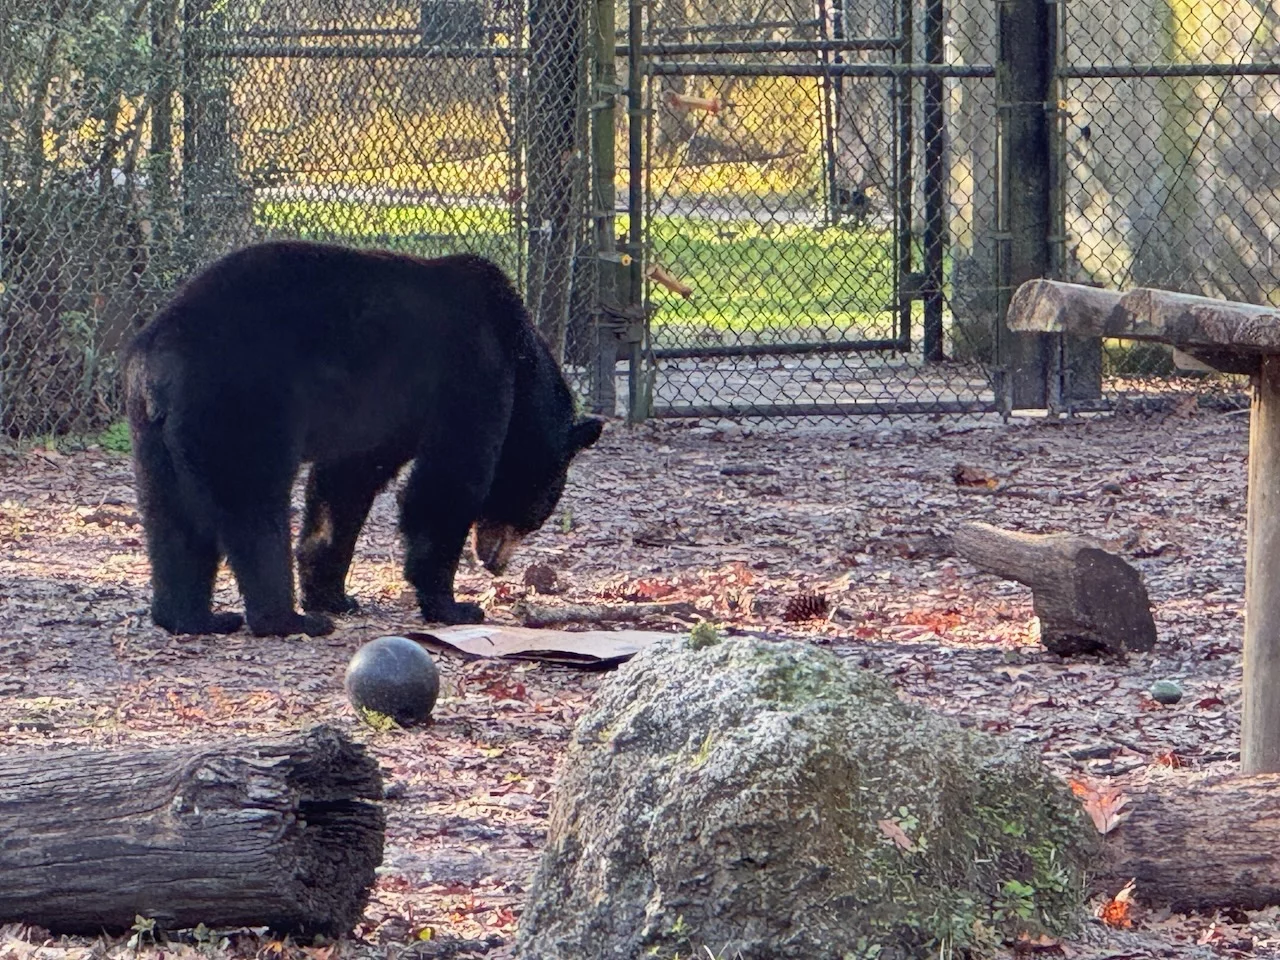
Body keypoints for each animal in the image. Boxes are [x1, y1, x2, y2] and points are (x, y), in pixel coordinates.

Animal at [123, 240, 603, 638]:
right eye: (535, 515)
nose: (495, 564)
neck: (519, 355)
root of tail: (159, 358)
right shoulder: (473, 373)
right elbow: (447, 481)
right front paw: (452, 605)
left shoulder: (382, 419)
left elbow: (345, 484)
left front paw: (332, 593)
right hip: (239, 403)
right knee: (252, 507)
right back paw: (285, 619)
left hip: (155, 434)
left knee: (171, 516)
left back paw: (192, 616)